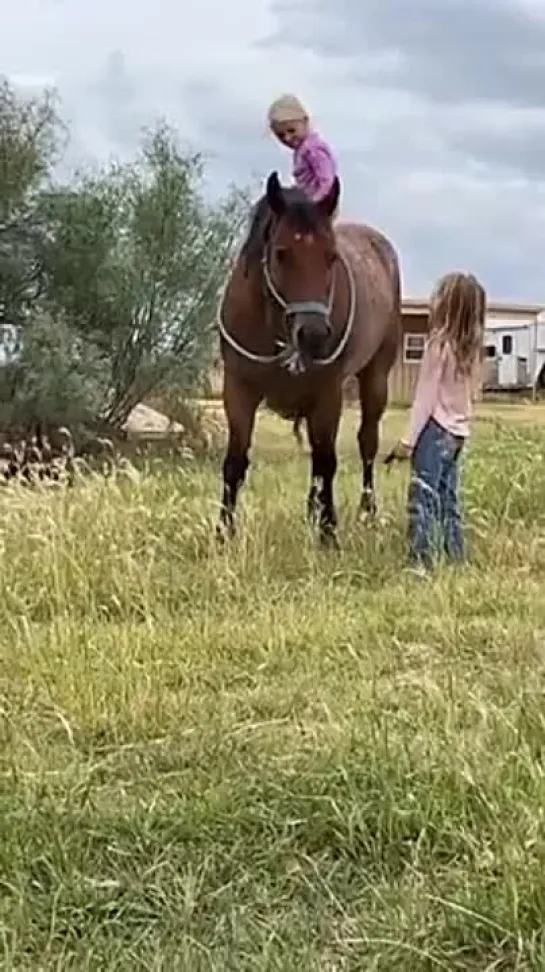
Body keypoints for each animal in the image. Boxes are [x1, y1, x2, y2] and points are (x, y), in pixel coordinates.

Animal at [216, 174, 400, 548]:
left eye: (331, 257)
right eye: (281, 253)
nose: (314, 334)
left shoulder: (327, 395)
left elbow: (326, 461)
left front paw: (328, 533)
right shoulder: (237, 390)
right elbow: (235, 461)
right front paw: (224, 531)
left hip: (376, 376)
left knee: (367, 444)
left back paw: (366, 512)